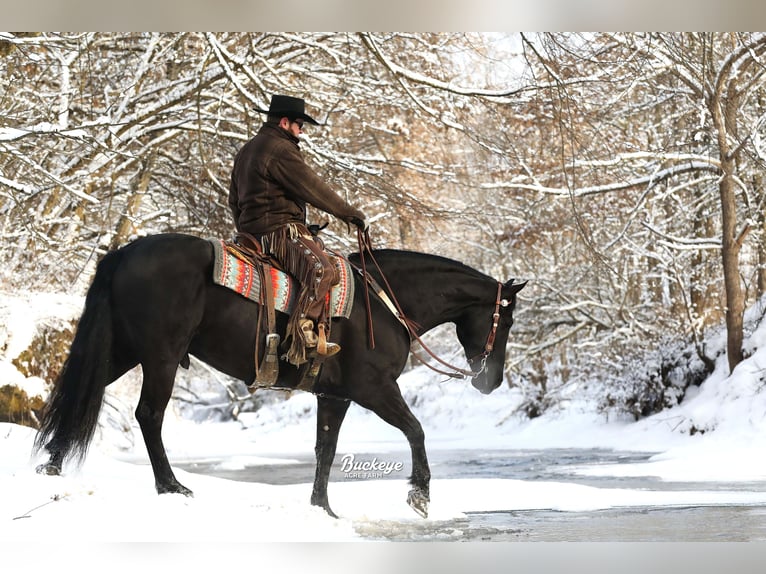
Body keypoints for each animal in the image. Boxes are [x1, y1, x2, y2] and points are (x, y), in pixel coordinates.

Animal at [36, 232, 528, 520]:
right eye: (505, 320)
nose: (491, 381)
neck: (383, 302)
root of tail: (123, 253)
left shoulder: (335, 396)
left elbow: (325, 450)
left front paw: (322, 510)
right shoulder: (374, 389)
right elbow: (416, 430)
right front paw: (420, 495)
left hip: (121, 350)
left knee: (81, 392)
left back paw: (54, 464)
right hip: (160, 356)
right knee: (148, 415)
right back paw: (171, 486)